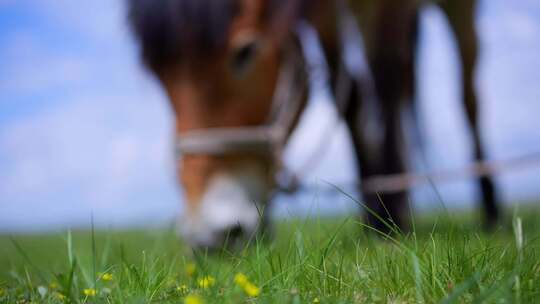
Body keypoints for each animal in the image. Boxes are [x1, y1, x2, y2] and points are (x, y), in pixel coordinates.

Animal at [129, 0, 500, 249]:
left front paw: (390, 221)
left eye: (245, 51)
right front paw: (375, 219)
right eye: (157, 75)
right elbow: (348, 95)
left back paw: (491, 210)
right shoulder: (325, 17)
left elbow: (384, 82)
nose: (207, 234)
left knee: (468, 98)